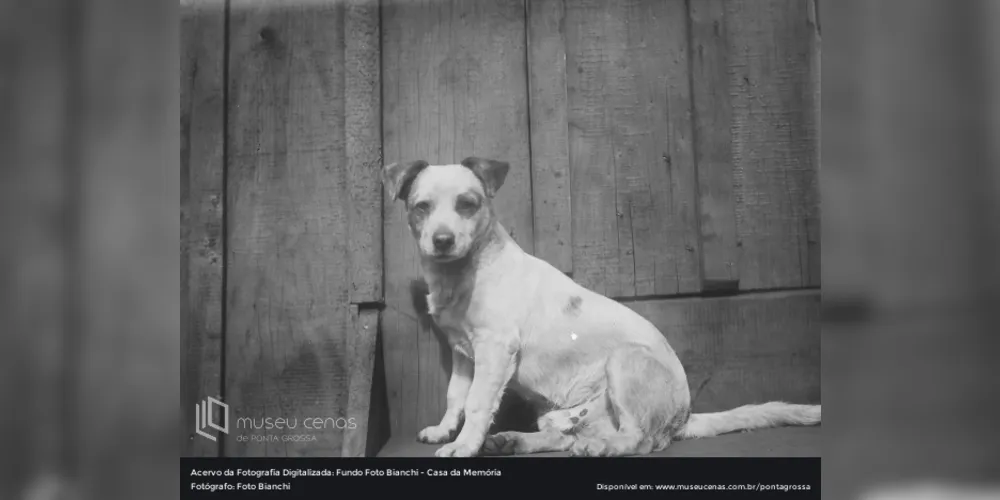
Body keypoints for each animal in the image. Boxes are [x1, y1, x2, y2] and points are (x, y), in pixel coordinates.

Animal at [382, 157, 820, 458]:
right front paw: (444, 431)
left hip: (625, 362)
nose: (441, 241)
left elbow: (476, 404)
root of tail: (683, 416)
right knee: (565, 436)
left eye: (468, 204)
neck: (463, 273)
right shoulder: (463, 353)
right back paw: (515, 440)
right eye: (421, 207)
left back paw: (603, 447)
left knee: (639, 441)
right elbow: (455, 398)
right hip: (560, 411)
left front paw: (463, 446)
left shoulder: (494, 350)